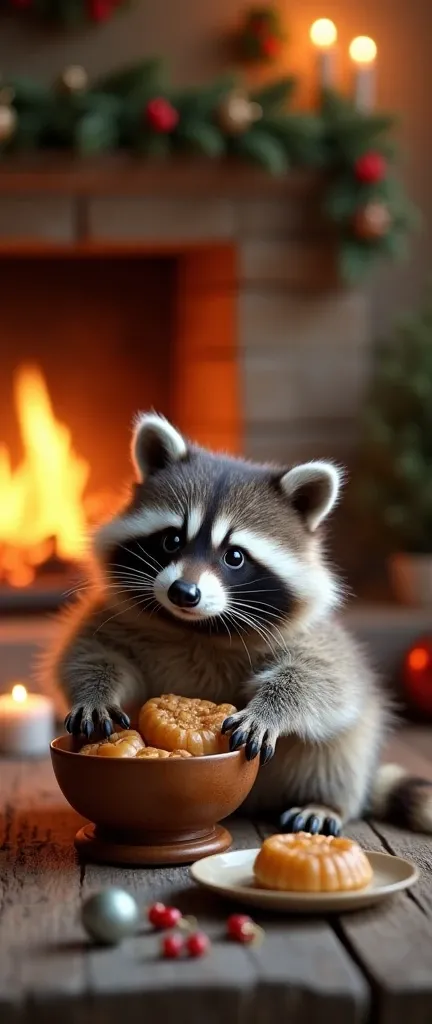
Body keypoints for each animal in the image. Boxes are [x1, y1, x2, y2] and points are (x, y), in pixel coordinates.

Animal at [51, 411, 432, 835]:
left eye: (234, 557)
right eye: (171, 540)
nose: (184, 592)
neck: (196, 628)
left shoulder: (312, 637)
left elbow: (323, 679)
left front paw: (270, 709)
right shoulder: (114, 614)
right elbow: (90, 651)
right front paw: (95, 692)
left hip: (344, 748)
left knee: (341, 749)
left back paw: (327, 801)